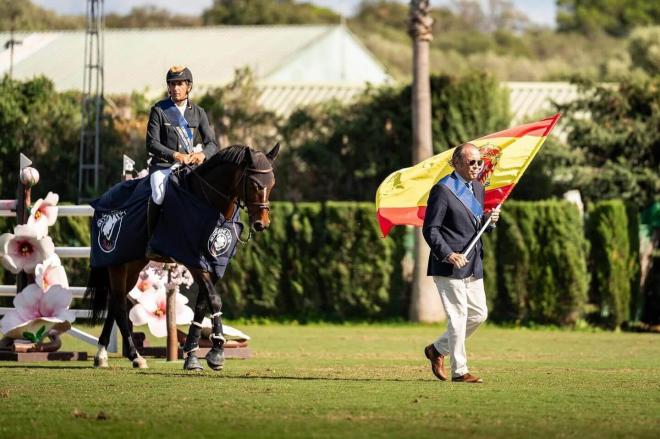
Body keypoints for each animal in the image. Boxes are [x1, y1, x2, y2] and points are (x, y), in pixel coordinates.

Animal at [85, 144, 278, 372]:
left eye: (272, 184)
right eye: (255, 184)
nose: (262, 224)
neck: (207, 203)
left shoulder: (212, 264)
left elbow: (203, 305)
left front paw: (193, 355)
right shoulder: (194, 261)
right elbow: (215, 300)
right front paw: (217, 353)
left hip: (133, 265)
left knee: (116, 303)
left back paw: (103, 355)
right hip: (117, 265)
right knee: (120, 306)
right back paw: (134, 356)